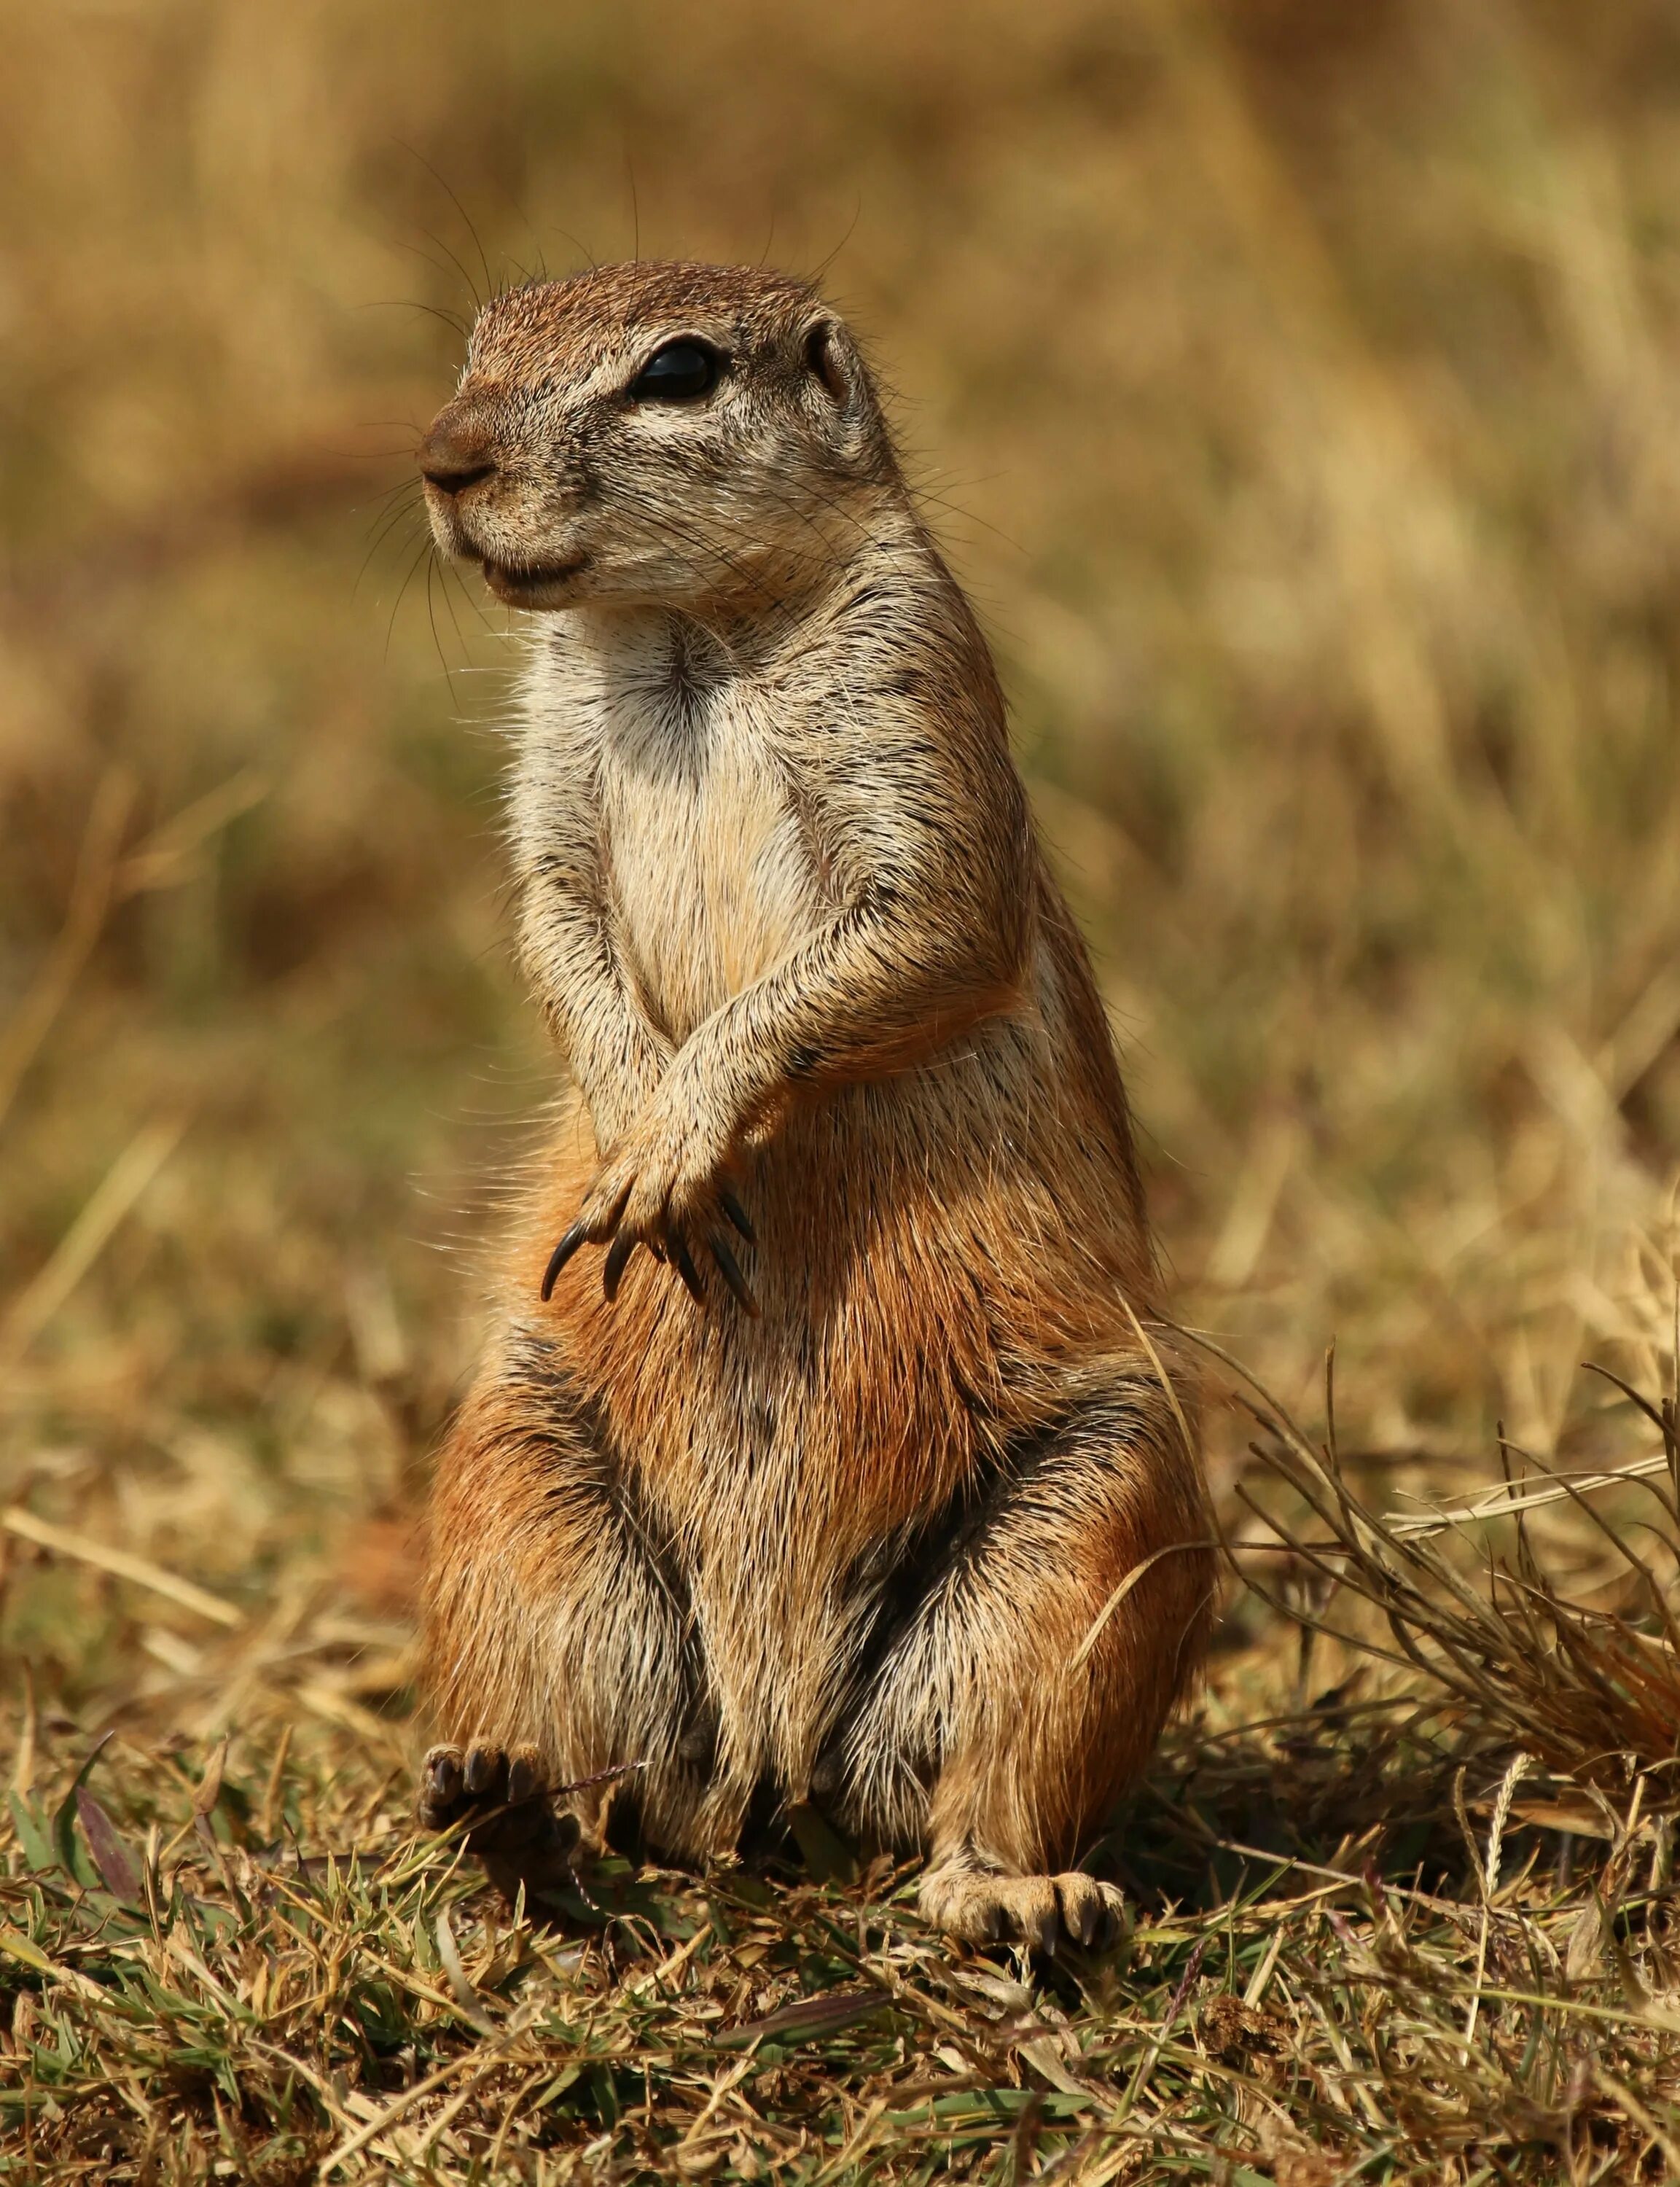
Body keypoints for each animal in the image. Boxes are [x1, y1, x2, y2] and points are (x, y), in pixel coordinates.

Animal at [413, 256, 1216, 1951]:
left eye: (679, 370)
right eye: (480, 341)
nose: (444, 460)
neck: (681, 628)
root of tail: (776, 1755)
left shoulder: (915, 698)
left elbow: (922, 927)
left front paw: (677, 1138)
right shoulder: (549, 765)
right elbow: (551, 919)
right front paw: (635, 1123)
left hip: (1091, 1515)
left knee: (973, 1800)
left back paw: (1018, 1896)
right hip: (524, 1473)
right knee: (617, 1796)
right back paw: (512, 1816)